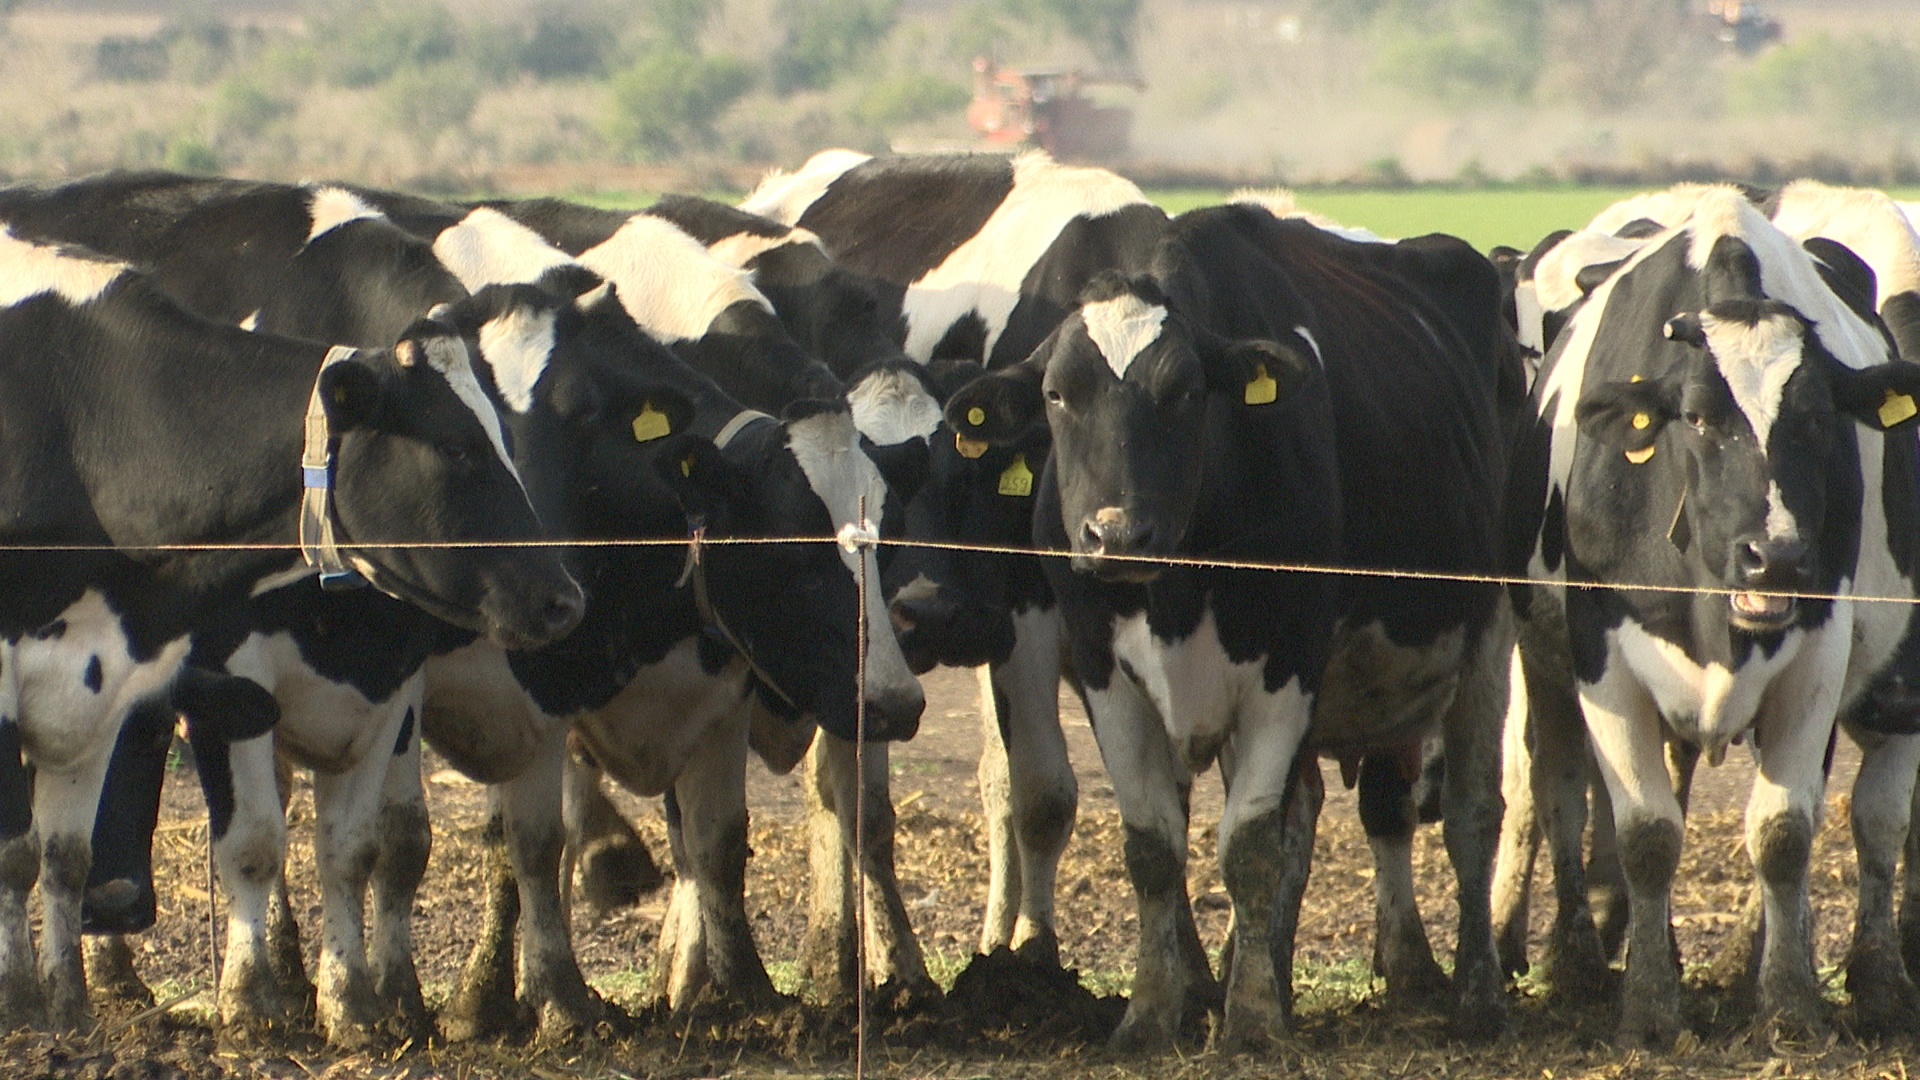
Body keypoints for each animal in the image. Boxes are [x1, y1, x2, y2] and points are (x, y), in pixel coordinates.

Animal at [0, 223, 582, 1032]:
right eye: (457, 446)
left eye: (506, 439)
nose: (564, 599)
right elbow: (16, 852)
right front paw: (20, 999)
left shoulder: (102, 675)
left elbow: (63, 854)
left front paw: (66, 1003)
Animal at [942, 199, 1518, 1050]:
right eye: (1055, 393)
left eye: (1184, 390)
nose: (1116, 534)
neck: (1177, 589)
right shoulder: (1105, 671)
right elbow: (1154, 846)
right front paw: (1153, 1016)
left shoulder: (1288, 662)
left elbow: (1248, 851)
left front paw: (1248, 1025)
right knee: (1317, 816)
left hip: (1492, 629)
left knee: (1472, 815)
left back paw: (1477, 995)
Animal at [1504, 184, 1920, 1046]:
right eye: (1696, 417)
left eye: (1820, 417)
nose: (1778, 557)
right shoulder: (1603, 664)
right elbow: (1645, 834)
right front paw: (1649, 1008)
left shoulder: (1821, 657)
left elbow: (1786, 833)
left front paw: (1791, 1001)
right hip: (1547, 668)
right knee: (1558, 787)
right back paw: (1578, 963)